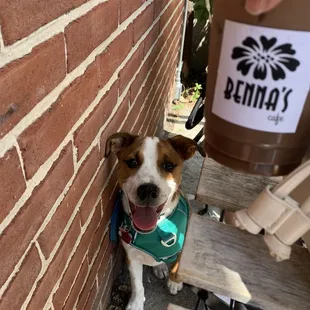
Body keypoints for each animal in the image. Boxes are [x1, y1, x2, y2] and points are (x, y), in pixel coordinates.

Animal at [105, 133, 203, 310]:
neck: (156, 228)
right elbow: (137, 284)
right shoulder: (131, 256)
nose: (148, 190)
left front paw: (174, 282)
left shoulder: (183, 244)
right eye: (132, 162)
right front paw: (136, 303)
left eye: (168, 165)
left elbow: (177, 264)